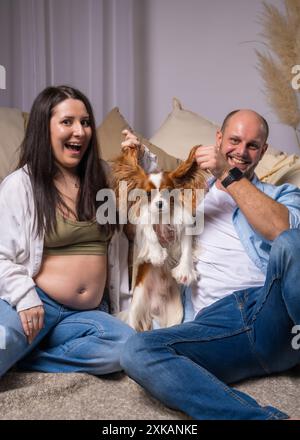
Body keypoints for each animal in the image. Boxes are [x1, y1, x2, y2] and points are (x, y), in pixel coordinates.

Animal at [111, 146, 207, 332]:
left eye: (168, 191)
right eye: (148, 194)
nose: (160, 204)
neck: (163, 217)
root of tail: (154, 309)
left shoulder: (183, 228)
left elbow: (186, 249)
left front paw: (184, 272)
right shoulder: (143, 221)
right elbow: (150, 232)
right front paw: (157, 255)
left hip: (176, 313)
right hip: (137, 305)